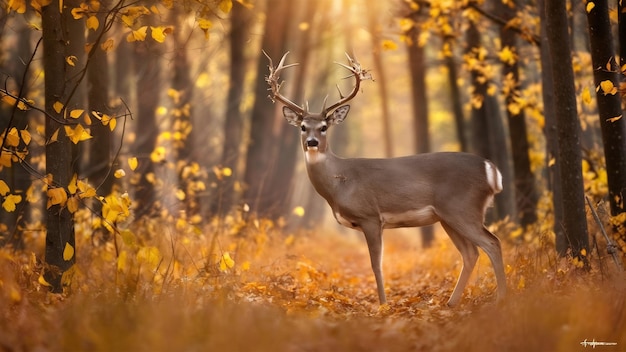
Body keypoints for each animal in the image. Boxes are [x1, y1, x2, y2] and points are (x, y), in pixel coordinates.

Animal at [264, 51, 508, 306]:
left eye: (323, 127)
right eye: (302, 126)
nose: (312, 142)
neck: (339, 183)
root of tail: (490, 168)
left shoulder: (370, 216)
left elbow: (376, 265)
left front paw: (383, 305)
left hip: (463, 208)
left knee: (492, 243)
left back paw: (501, 299)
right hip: (447, 217)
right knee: (471, 253)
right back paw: (452, 303)